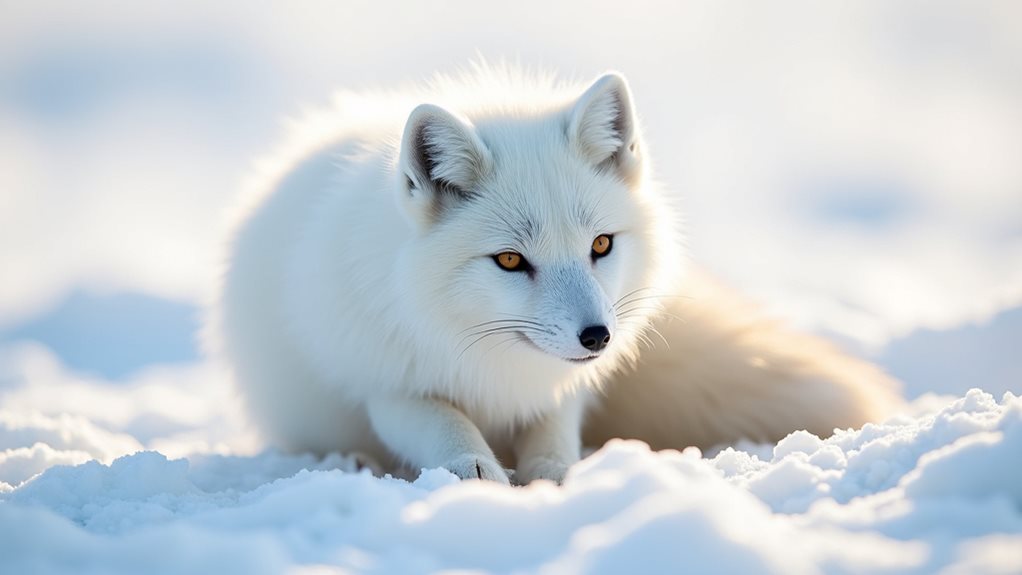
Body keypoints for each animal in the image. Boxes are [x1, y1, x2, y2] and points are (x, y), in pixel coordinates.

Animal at [211, 64, 901, 484]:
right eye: (511, 260)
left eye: (600, 244)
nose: (598, 337)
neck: (496, 365)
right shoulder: (387, 381)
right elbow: (443, 423)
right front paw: (475, 470)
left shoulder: (564, 389)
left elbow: (554, 436)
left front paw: (554, 478)